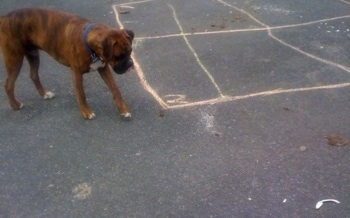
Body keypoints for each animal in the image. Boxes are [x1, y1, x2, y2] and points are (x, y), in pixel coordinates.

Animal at [0, 8, 134, 119]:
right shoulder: (76, 73)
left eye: (130, 51)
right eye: (118, 56)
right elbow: (81, 94)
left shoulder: (104, 68)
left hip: (33, 55)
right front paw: (86, 112)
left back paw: (45, 94)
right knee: (8, 84)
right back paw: (15, 105)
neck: (89, 45)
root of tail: (5, 18)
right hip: (14, 59)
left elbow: (115, 89)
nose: (130, 64)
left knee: (33, 75)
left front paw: (123, 109)